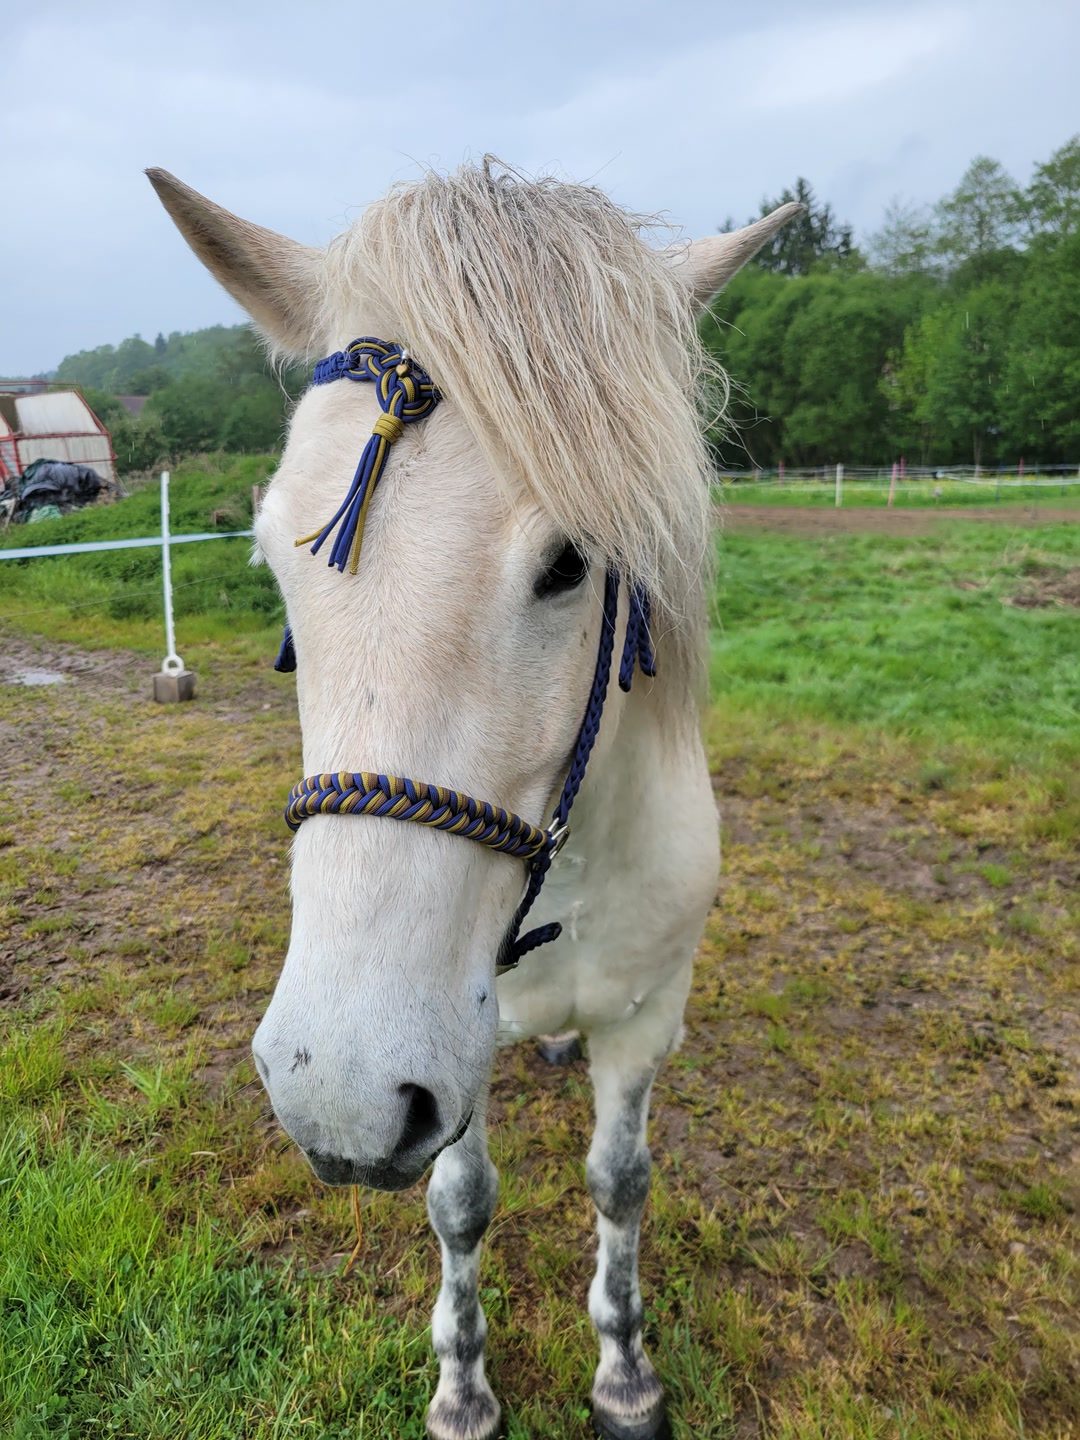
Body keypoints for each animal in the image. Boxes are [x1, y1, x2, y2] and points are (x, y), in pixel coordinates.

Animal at [149, 160, 795, 1440]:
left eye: (571, 563)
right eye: (272, 557)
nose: (337, 1096)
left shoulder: (645, 1017)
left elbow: (621, 1183)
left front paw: (625, 1371)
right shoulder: (452, 1050)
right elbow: (462, 1203)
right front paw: (463, 1388)